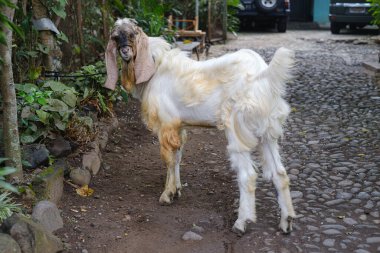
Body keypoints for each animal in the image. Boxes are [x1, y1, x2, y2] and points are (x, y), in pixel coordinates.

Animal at [104, 18, 296, 235]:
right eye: (115, 37)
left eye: (133, 34)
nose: (125, 51)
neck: (156, 67)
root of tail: (264, 74)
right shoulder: (178, 126)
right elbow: (178, 157)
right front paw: (177, 189)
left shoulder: (166, 125)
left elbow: (168, 159)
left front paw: (167, 194)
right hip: (267, 132)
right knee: (280, 174)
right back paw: (286, 221)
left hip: (237, 128)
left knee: (248, 175)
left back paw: (241, 223)